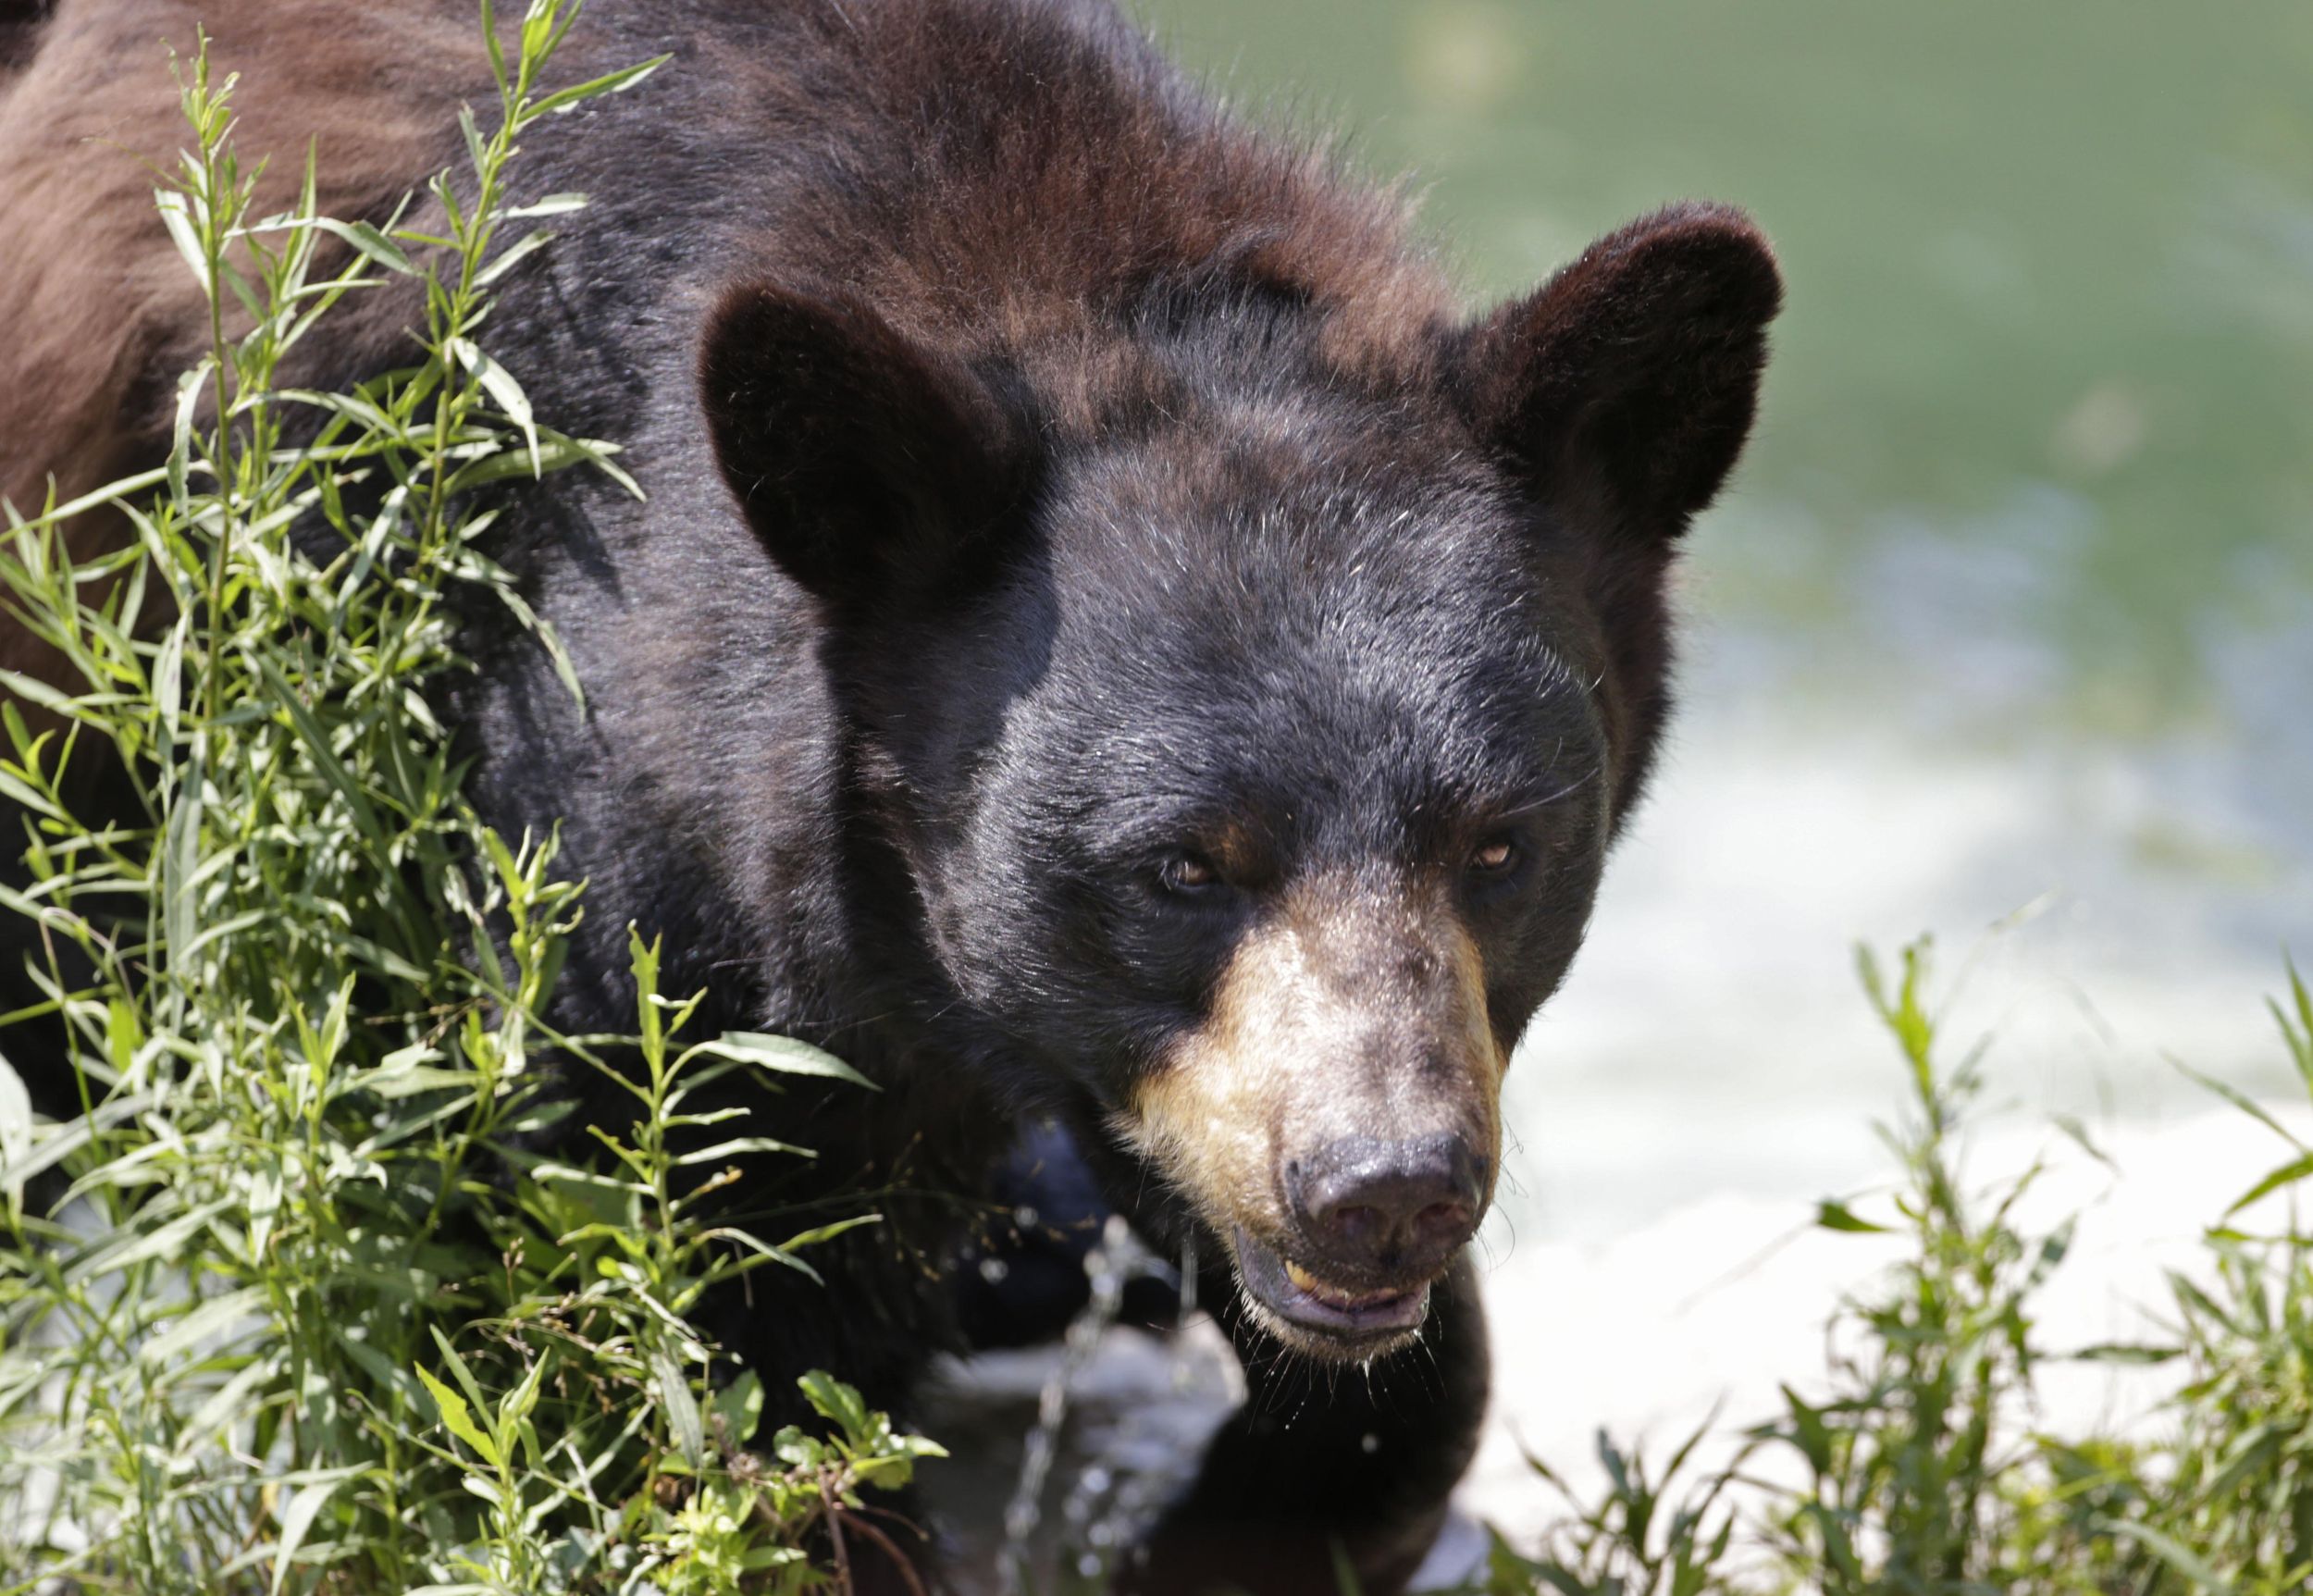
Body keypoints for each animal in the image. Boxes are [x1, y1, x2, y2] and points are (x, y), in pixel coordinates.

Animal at [0, 0, 1780, 1588]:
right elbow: (681, 1325)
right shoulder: (552, 810)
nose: (1383, 1195)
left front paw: (1228, 1525)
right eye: (1183, 866)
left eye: (1501, 844)